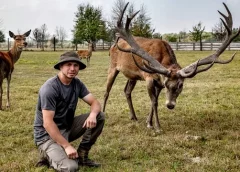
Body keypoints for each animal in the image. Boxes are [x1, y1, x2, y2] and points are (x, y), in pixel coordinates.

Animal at [102, 2, 239, 133]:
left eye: (181, 85)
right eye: (167, 84)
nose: (170, 105)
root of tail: (112, 46)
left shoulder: (158, 83)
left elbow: (153, 101)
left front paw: (149, 122)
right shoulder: (149, 77)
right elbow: (154, 101)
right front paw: (157, 127)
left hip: (132, 76)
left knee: (127, 91)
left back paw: (133, 117)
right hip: (112, 67)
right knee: (106, 91)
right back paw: (103, 113)